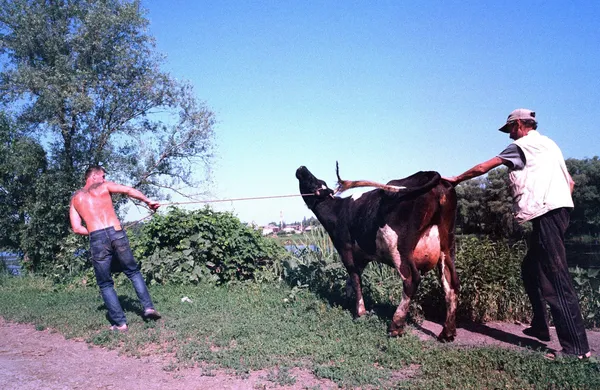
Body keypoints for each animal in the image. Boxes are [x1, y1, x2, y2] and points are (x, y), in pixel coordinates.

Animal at [296, 165, 460, 342]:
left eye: (312, 181)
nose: (302, 168)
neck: (337, 211)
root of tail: (428, 175)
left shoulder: (345, 249)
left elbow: (355, 278)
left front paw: (360, 312)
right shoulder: (362, 256)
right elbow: (351, 280)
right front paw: (348, 301)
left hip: (399, 246)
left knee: (411, 279)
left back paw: (396, 326)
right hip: (447, 246)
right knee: (451, 282)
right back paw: (447, 332)